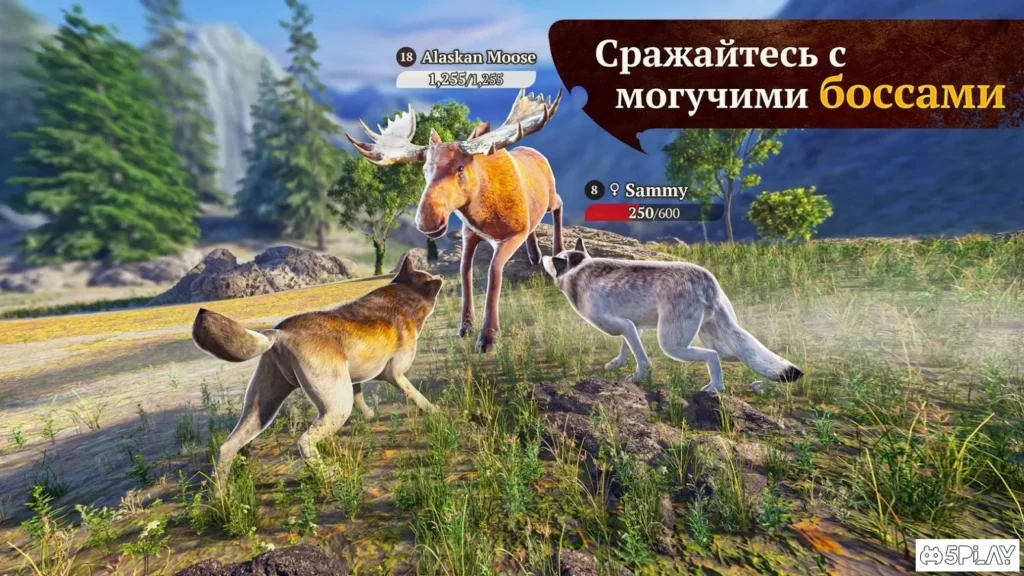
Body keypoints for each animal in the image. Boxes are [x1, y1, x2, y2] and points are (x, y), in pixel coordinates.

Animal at [191, 256, 442, 484]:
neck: (404, 293)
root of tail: (280, 333)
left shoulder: (354, 379)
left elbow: (360, 394)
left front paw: (369, 415)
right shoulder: (395, 374)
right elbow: (416, 395)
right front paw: (435, 411)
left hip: (262, 408)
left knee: (226, 447)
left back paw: (220, 495)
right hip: (336, 407)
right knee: (304, 442)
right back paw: (329, 475)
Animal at [541, 239, 803, 392]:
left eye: (555, 260)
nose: (543, 257)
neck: (578, 270)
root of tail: (707, 281)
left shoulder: (622, 325)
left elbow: (641, 359)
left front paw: (637, 377)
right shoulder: (633, 326)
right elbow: (626, 349)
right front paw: (616, 364)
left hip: (672, 344)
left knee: (712, 357)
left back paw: (715, 388)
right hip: (721, 341)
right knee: (747, 357)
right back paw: (757, 386)